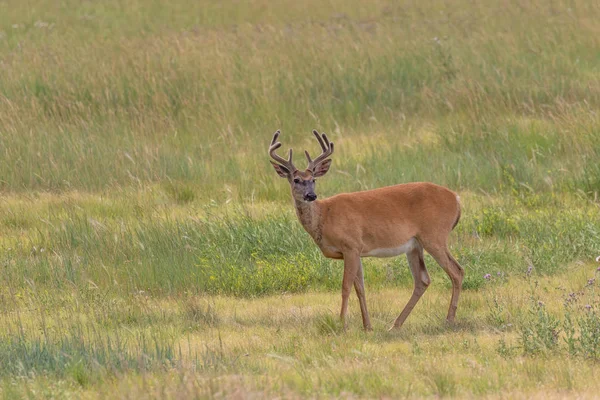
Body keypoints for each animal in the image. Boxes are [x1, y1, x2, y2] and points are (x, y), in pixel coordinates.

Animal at [268, 130, 464, 330]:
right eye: (296, 180)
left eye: (313, 179)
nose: (311, 195)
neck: (324, 216)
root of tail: (456, 199)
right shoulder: (356, 251)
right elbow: (360, 288)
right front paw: (367, 326)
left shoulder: (350, 245)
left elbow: (345, 287)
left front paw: (341, 323)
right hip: (415, 245)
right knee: (423, 280)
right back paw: (395, 325)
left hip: (434, 235)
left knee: (457, 271)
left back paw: (449, 319)